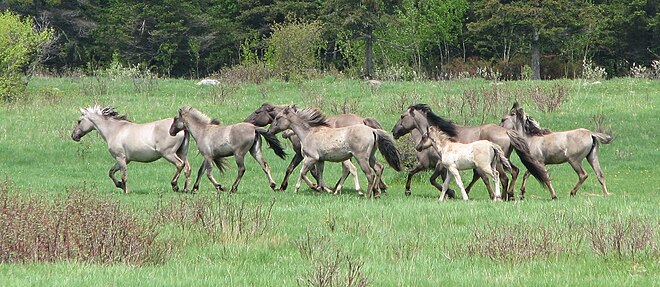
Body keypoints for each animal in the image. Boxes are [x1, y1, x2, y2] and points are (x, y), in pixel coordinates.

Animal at [242, 103, 386, 196]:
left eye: (257, 112)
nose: (246, 121)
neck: (308, 132)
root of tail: (367, 124)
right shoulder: (315, 158)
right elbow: (308, 172)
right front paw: (320, 188)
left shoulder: (306, 156)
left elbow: (303, 171)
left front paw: (313, 187)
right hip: (365, 157)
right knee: (377, 168)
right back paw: (376, 190)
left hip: (358, 157)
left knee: (365, 172)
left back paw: (365, 192)